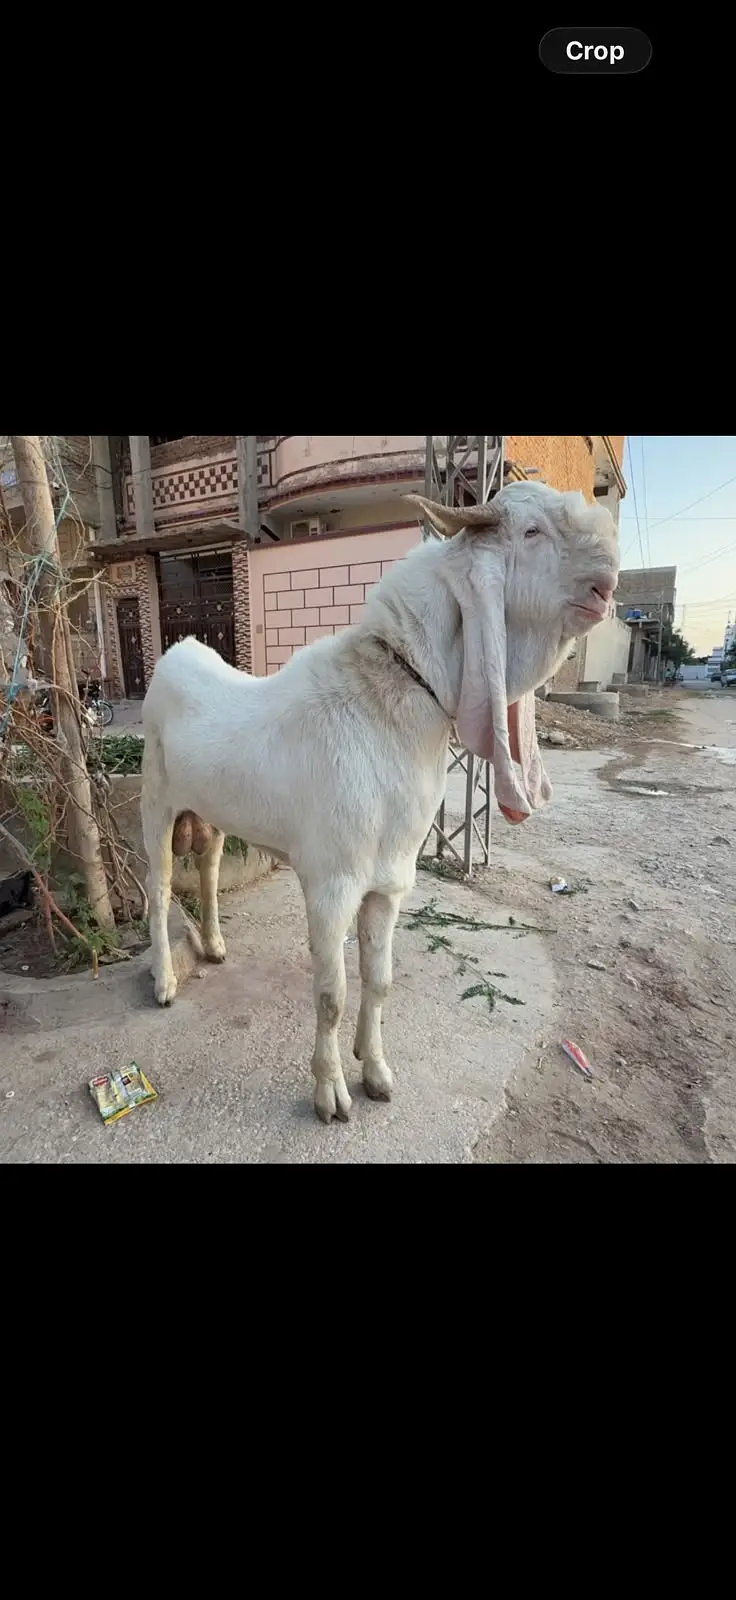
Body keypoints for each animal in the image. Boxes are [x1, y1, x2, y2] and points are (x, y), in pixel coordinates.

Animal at [141, 482, 619, 1124]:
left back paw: (215, 946)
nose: (605, 588)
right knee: (161, 882)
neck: (387, 701)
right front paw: (330, 1093)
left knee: (211, 863)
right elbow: (331, 994)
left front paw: (376, 1071)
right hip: (155, 798)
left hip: (210, 809)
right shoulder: (331, 882)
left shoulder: (389, 882)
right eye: (531, 532)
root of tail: (179, 651)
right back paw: (165, 982)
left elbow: (380, 980)